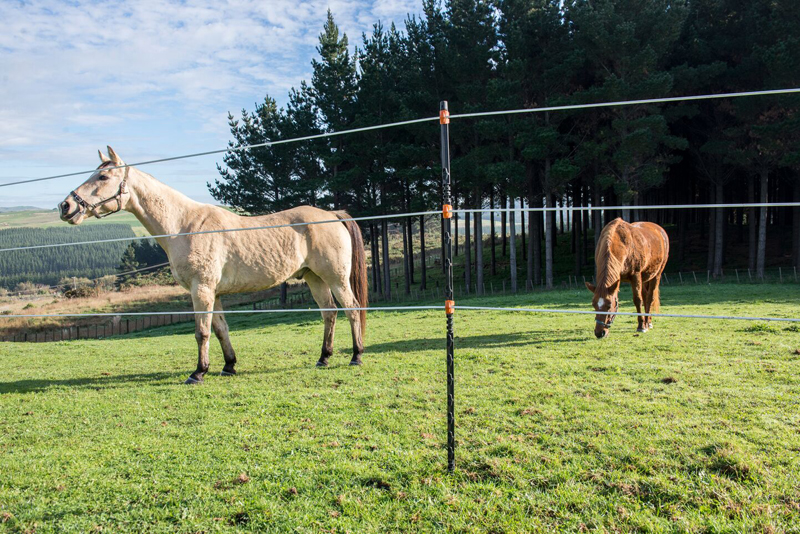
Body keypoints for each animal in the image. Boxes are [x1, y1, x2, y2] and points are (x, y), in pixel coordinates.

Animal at [59, 147, 368, 384]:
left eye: (103, 176)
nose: (66, 206)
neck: (184, 225)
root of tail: (332, 214)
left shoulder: (202, 289)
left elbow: (202, 331)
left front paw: (198, 372)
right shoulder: (214, 292)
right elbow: (221, 329)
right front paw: (229, 365)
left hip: (336, 278)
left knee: (352, 310)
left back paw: (356, 356)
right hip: (315, 279)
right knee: (329, 314)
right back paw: (323, 358)